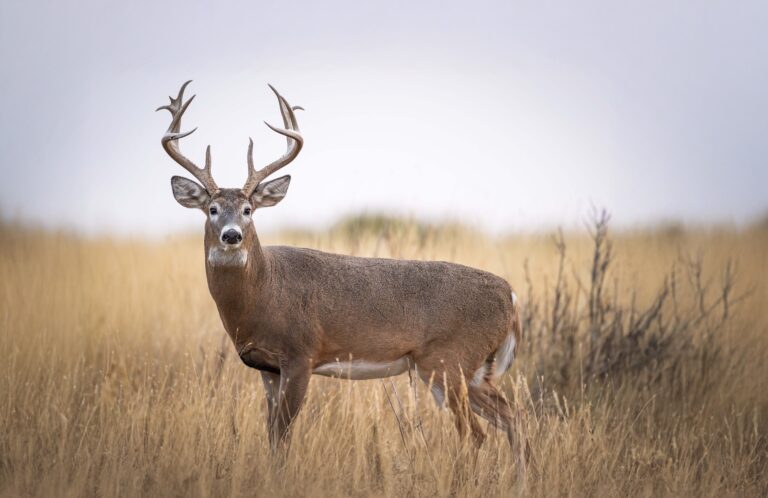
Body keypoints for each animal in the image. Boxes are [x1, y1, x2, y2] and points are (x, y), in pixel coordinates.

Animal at [157, 80, 525, 458]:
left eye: (248, 210)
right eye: (212, 209)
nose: (232, 235)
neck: (264, 290)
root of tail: (511, 296)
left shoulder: (300, 354)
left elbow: (283, 437)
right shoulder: (267, 368)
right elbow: (271, 437)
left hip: (449, 360)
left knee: (475, 435)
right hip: (471, 370)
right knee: (513, 417)